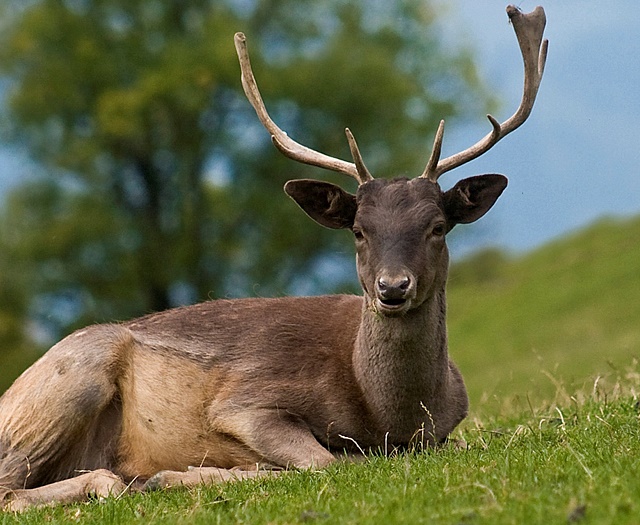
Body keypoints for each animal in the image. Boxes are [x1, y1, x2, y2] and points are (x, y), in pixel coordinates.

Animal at [1, 5, 552, 512]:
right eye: (359, 231)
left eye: (437, 227)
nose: (393, 288)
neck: (389, 417)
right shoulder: (244, 402)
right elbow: (327, 461)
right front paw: (184, 474)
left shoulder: (450, 424)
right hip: (68, 380)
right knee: (12, 490)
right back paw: (125, 480)